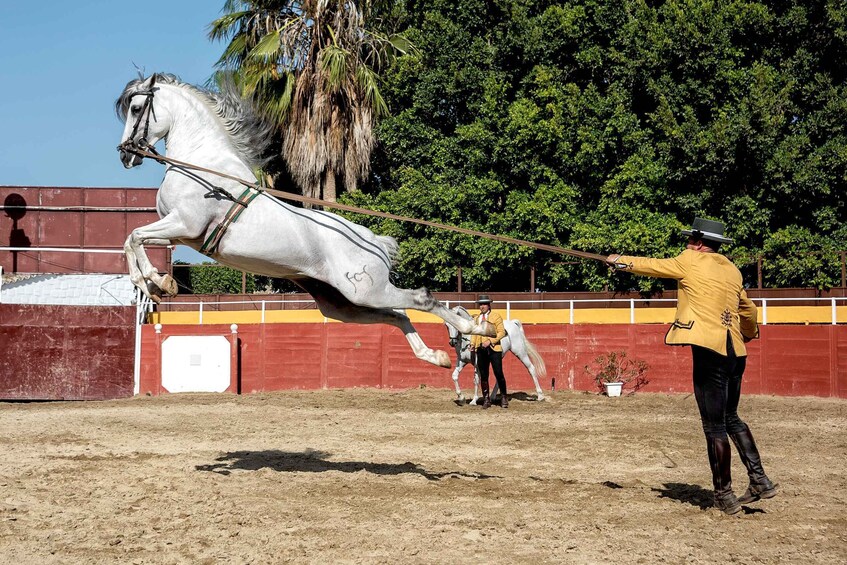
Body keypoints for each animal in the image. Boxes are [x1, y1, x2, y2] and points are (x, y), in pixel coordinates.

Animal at [115, 74, 494, 366]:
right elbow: (132, 240)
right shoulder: (179, 234)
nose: (125, 155)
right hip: (345, 304)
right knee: (397, 314)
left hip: (365, 290)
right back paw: (436, 356)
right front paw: (156, 283)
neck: (201, 167)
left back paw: (476, 328)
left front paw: (158, 282)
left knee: (421, 299)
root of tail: (375, 243)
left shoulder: (185, 225)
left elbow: (133, 237)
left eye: (136, 109)